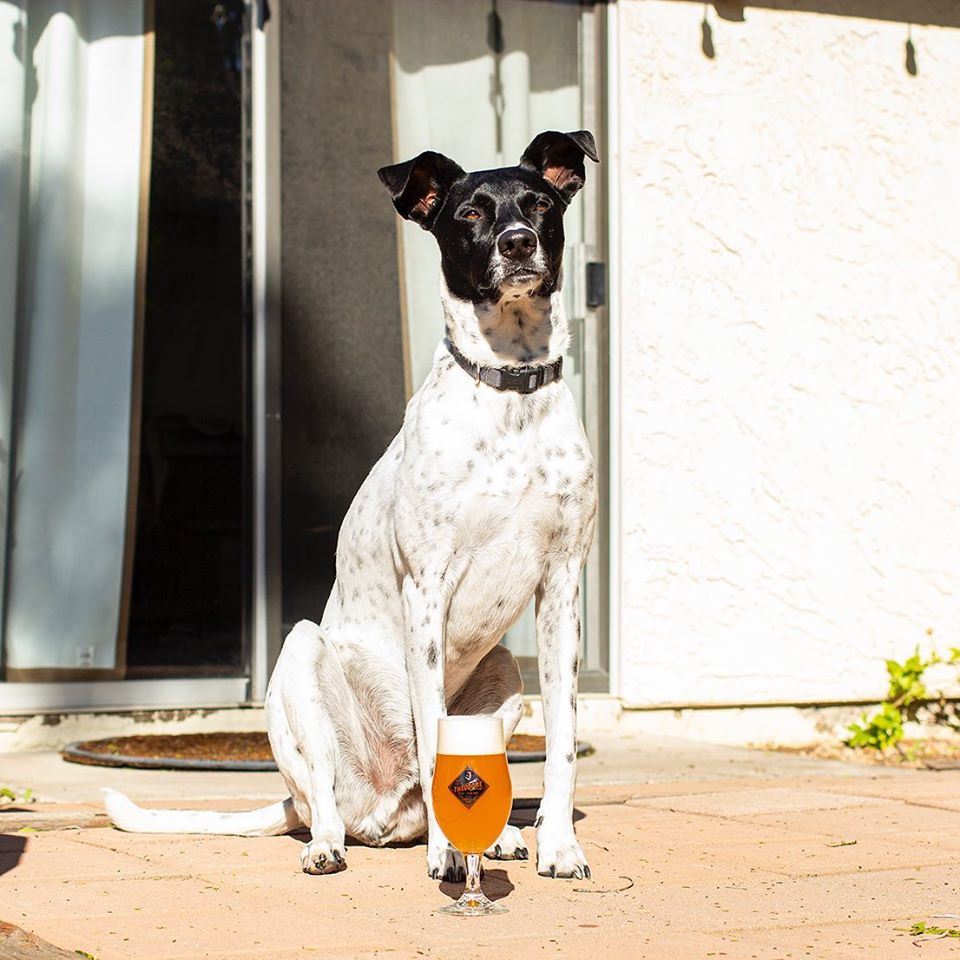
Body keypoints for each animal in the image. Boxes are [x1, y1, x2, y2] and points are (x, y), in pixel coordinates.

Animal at [105, 129, 600, 884]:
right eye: (469, 214)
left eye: (539, 203)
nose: (517, 242)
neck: (509, 394)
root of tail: (385, 807)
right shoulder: (426, 588)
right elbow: (432, 737)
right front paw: (448, 857)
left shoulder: (563, 587)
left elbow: (566, 740)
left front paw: (558, 846)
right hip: (301, 658)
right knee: (328, 797)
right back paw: (332, 843)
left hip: (505, 674)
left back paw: (500, 838)